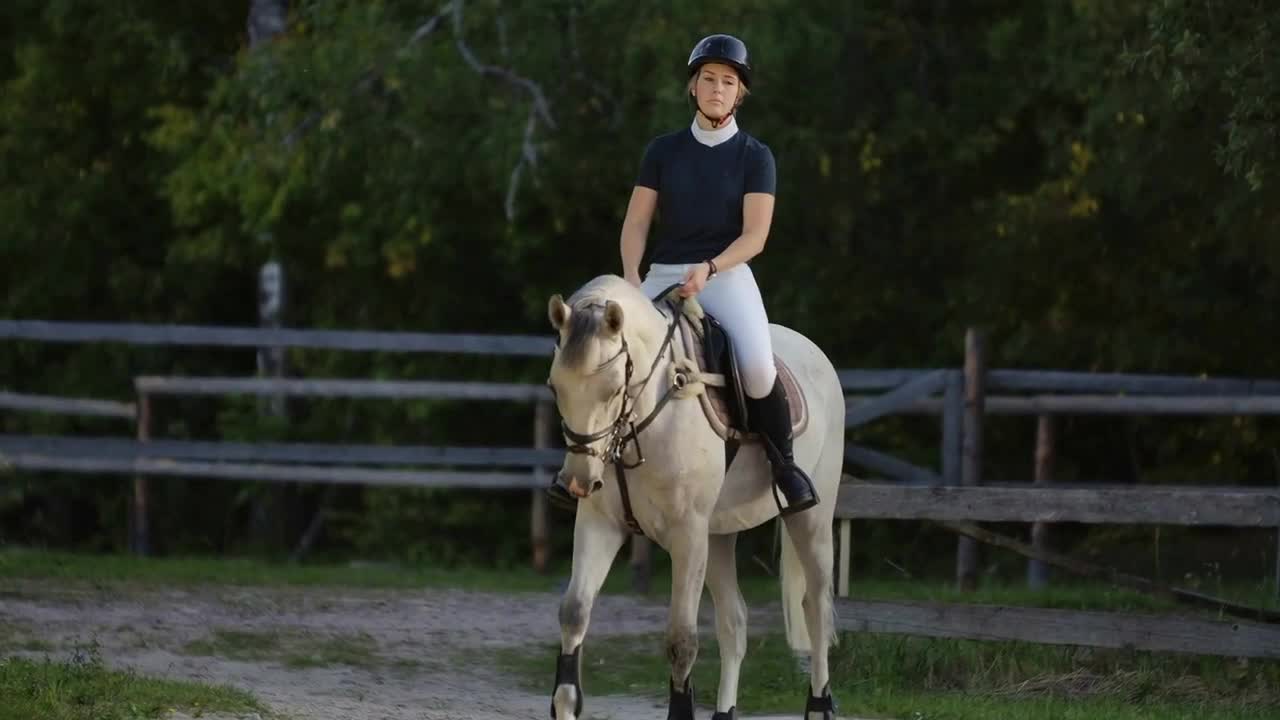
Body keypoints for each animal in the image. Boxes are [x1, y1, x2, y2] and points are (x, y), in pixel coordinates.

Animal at [542, 271, 849, 712]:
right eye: (555, 387)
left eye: (614, 387)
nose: (580, 480)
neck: (642, 419)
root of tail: (814, 351)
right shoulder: (599, 524)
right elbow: (574, 613)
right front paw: (566, 702)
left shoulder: (686, 535)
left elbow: (682, 641)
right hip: (718, 536)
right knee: (734, 622)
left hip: (810, 521)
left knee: (817, 609)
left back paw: (820, 705)